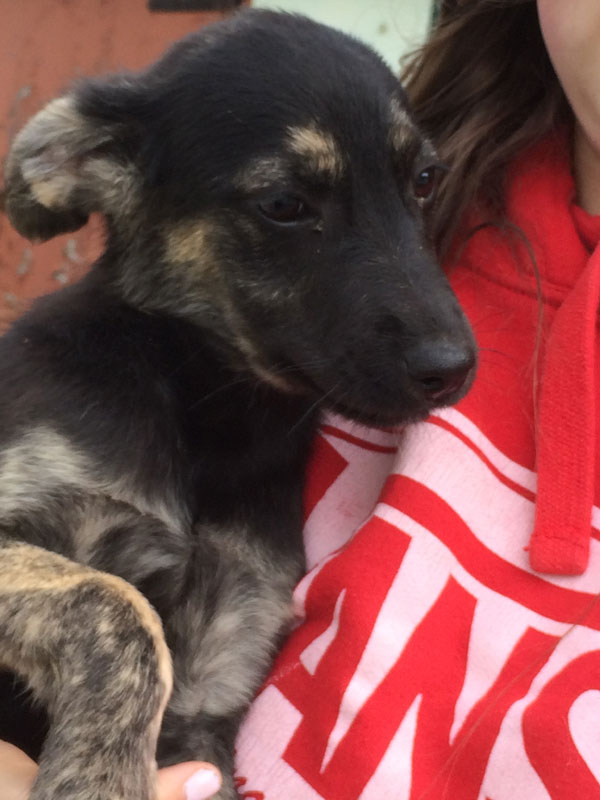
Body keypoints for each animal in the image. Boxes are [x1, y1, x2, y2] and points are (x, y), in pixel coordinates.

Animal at [1, 10, 478, 800]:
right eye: (283, 204)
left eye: (424, 180)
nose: (455, 368)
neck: (210, 416)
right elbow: (115, 605)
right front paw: (100, 778)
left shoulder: (211, 685)